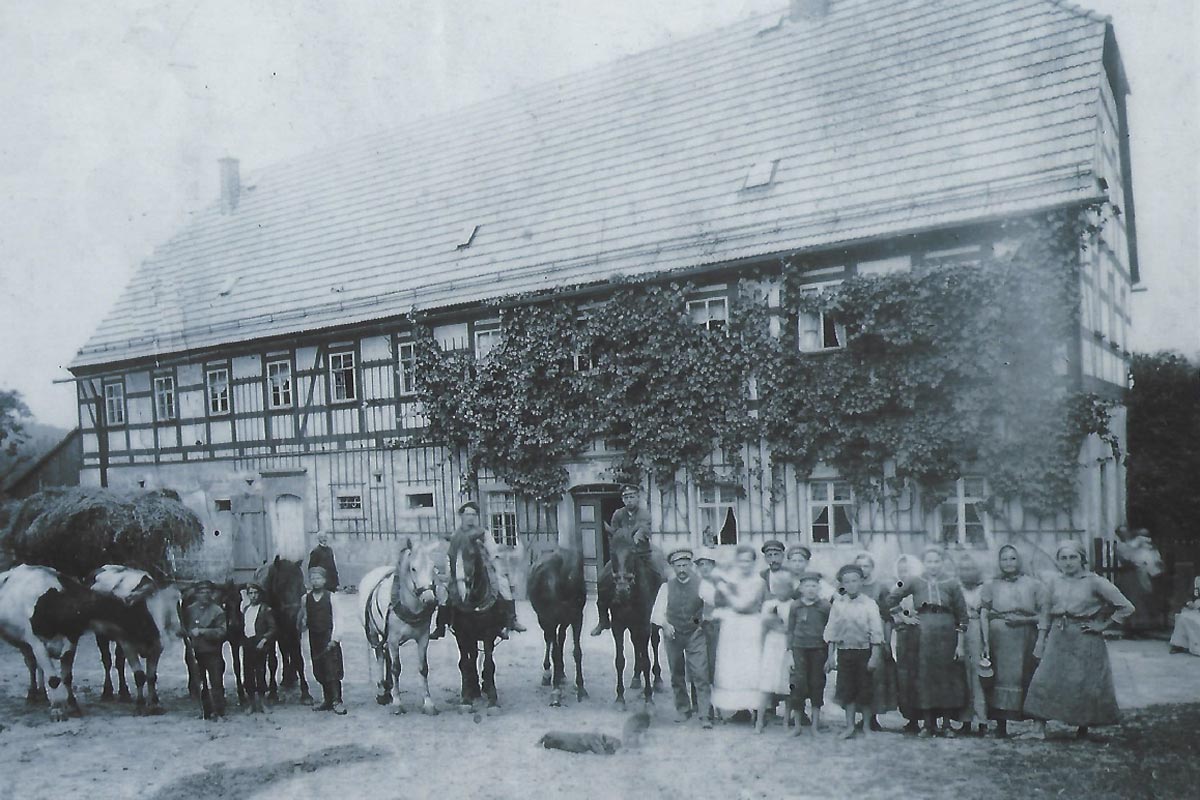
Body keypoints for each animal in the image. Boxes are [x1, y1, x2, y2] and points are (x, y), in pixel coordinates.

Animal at [255, 561, 312, 705]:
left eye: (301, 586)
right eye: (281, 585)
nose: (297, 617)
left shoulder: (293, 633)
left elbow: (299, 660)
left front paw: (306, 694)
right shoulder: (271, 636)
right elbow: (272, 663)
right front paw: (273, 693)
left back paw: (290, 677)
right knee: (284, 652)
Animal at [360, 542, 451, 714]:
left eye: (433, 567)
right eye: (413, 568)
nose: (430, 600)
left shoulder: (423, 638)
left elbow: (423, 668)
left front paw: (428, 703)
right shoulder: (394, 639)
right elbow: (396, 668)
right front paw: (397, 703)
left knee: (385, 655)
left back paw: (387, 689)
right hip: (374, 632)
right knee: (380, 656)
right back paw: (382, 691)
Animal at [448, 532, 508, 714]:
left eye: (472, 554)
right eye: (450, 555)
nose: (462, 594)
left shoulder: (489, 632)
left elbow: (489, 663)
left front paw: (493, 700)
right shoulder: (462, 634)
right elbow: (465, 663)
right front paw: (466, 698)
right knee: (471, 657)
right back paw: (473, 688)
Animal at [532, 544, 588, 705]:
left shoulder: (576, 618)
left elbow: (577, 652)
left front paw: (581, 688)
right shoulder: (549, 619)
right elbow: (554, 652)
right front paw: (555, 691)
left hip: (564, 620)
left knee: (560, 638)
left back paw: (560, 673)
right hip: (544, 619)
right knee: (549, 640)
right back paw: (548, 674)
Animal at [609, 532, 667, 705]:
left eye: (632, 553)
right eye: (612, 553)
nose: (622, 589)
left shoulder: (644, 625)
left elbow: (647, 660)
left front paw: (648, 697)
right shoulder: (617, 626)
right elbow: (619, 661)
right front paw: (620, 697)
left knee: (654, 643)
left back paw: (658, 680)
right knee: (636, 644)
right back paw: (636, 677)